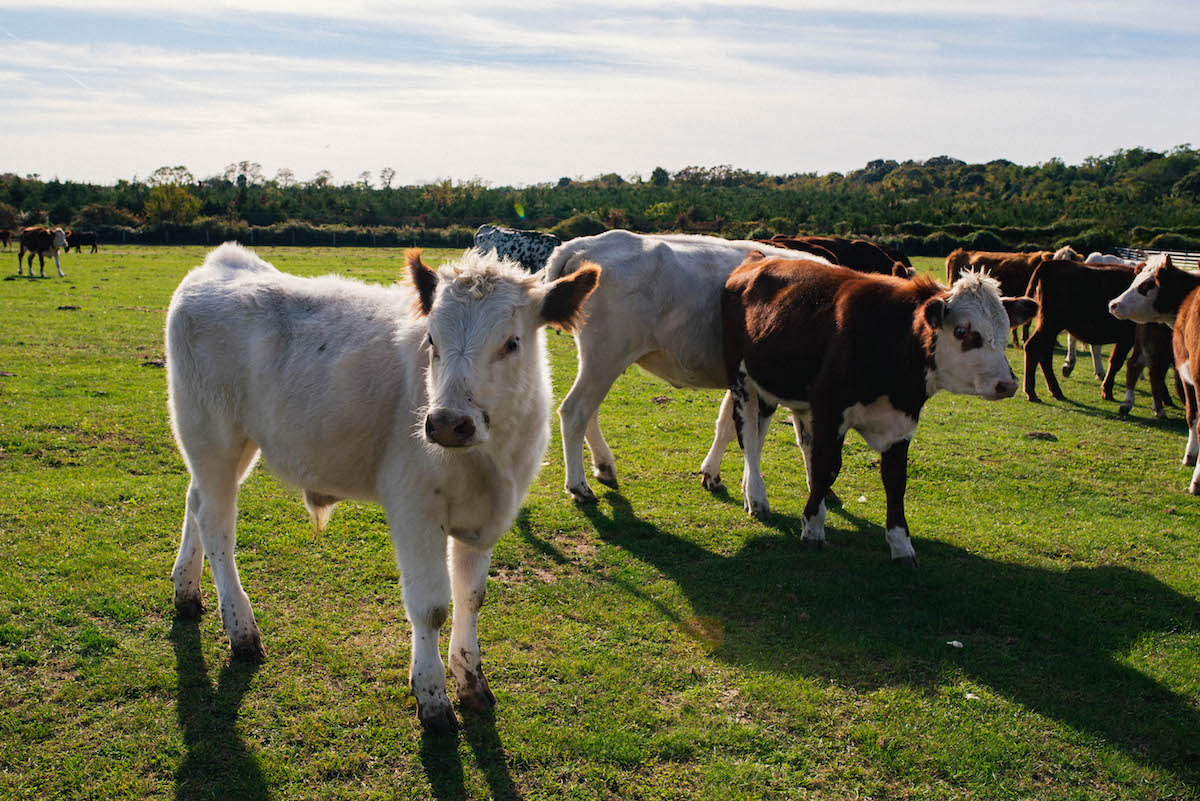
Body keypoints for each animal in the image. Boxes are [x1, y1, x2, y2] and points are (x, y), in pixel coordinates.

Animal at [166, 242, 597, 733]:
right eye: (431, 341)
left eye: (512, 342)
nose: (446, 423)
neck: (490, 462)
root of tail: (221, 262)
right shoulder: (414, 510)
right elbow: (431, 606)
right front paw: (432, 698)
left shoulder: (485, 519)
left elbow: (471, 596)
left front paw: (471, 681)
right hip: (211, 435)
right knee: (217, 525)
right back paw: (241, 629)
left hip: (225, 450)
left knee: (195, 501)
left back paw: (186, 591)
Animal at [542, 227, 830, 501]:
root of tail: (585, 243)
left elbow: (728, 425)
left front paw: (711, 474)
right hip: (606, 354)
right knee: (575, 410)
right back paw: (579, 486)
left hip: (600, 361)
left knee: (589, 411)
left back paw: (604, 467)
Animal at [715, 255, 1036, 563]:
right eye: (962, 331)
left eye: (1005, 330)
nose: (1008, 384)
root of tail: (757, 259)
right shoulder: (830, 410)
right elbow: (827, 467)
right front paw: (813, 528)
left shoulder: (901, 424)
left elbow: (895, 481)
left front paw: (901, 544)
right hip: (743, 381)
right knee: (749, 438)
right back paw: (756, 496)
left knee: (795, 440)